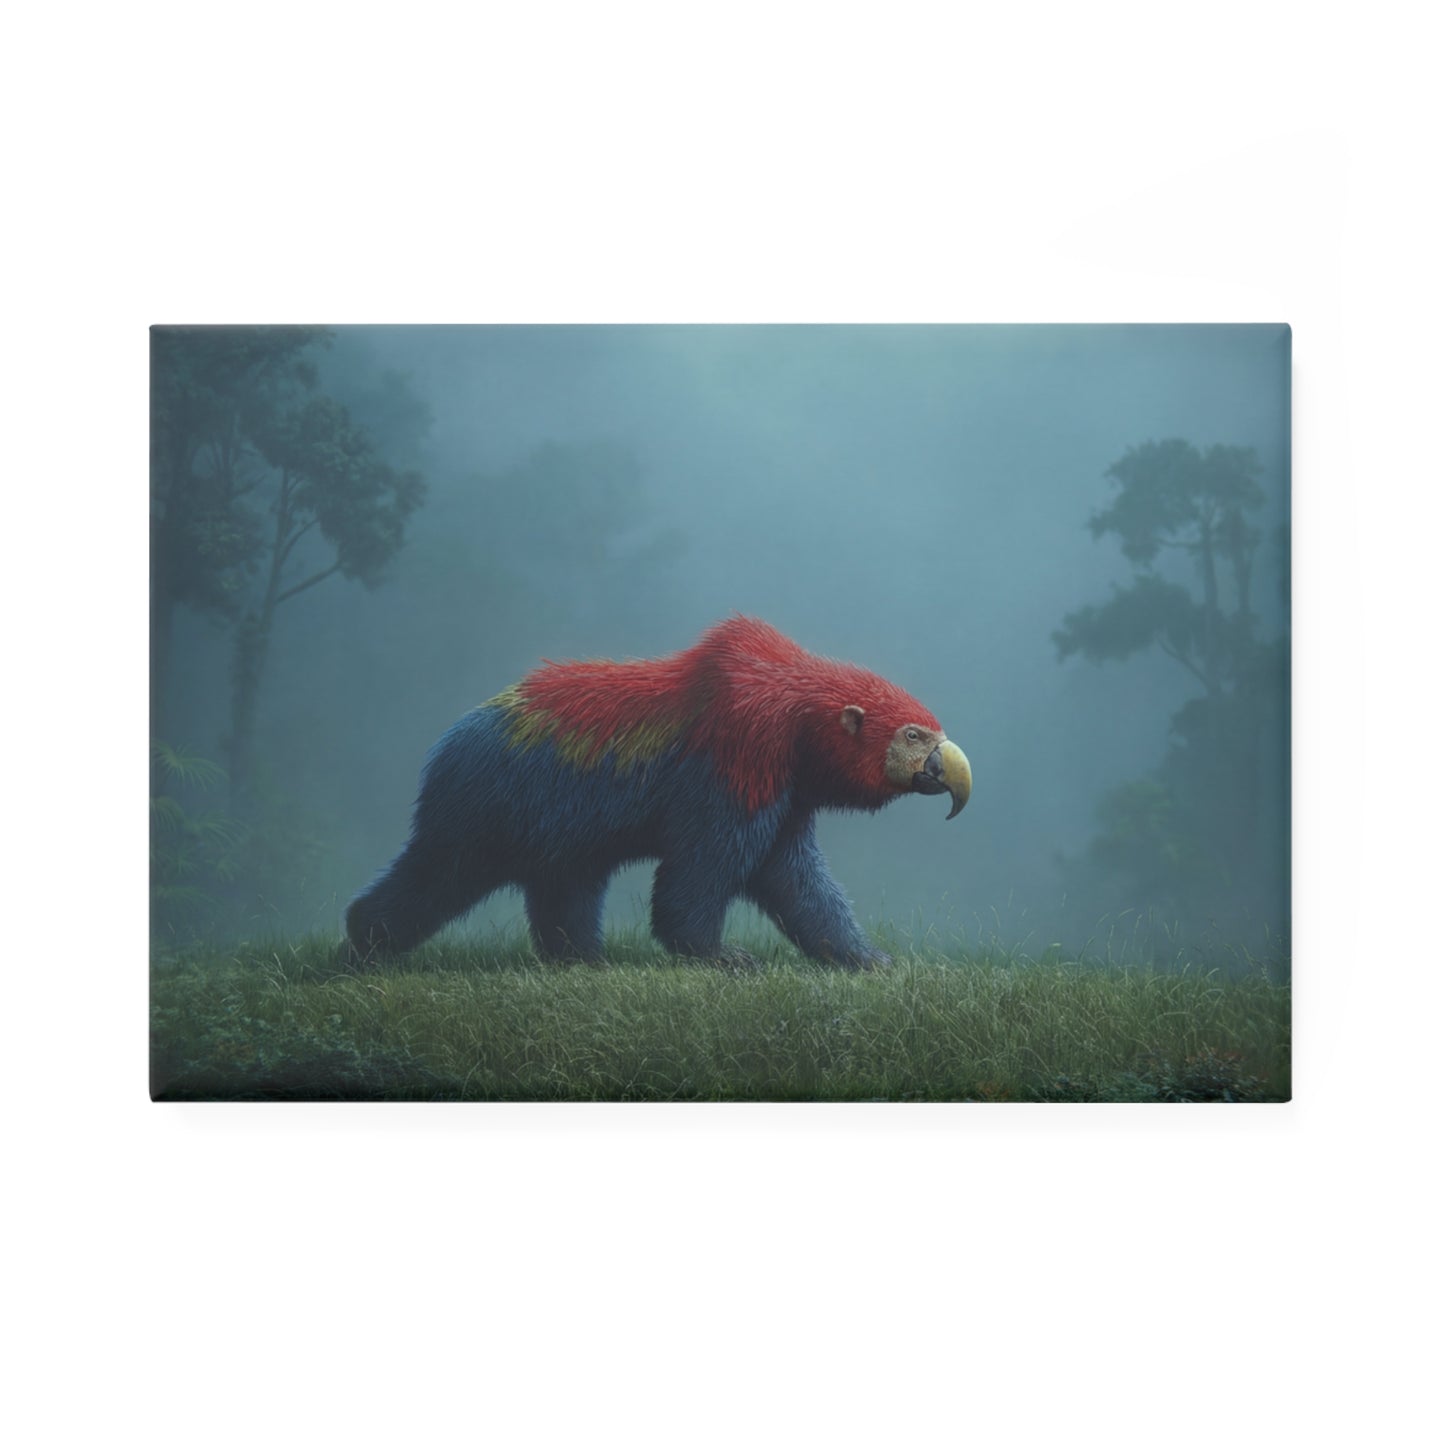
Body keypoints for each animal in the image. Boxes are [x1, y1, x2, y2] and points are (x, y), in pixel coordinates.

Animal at [345, 616, 971, 969]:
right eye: (913, 735)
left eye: (929, 729)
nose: (954, 771)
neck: (790, 711)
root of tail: (447, 744)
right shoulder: (736, 759)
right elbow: (704, 866)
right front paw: (718, 954)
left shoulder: (784, 791)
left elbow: (793, 878)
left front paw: (866, 957)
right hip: (487, 806)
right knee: (437, 873)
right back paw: (364, 939)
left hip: (552, 833)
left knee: (563, 887)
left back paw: (581, 958)